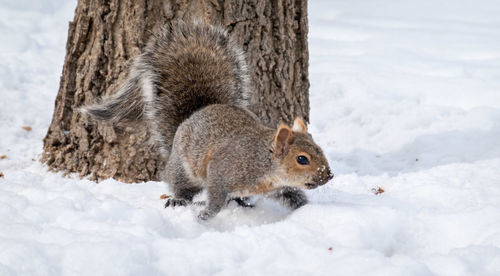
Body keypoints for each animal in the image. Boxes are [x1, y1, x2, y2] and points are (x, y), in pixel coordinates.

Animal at [81, 20, 332, 220]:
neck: (264, 163)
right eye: (302, 159)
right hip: (183, 170)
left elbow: (292, 195)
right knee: (181, 186)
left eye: (319, 149)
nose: (328, 175)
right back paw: (179, 199)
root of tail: (193, 115)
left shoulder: (277, 186)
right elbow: (216, 197)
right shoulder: (221, 170)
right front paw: (206, 214)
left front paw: (305, 208)